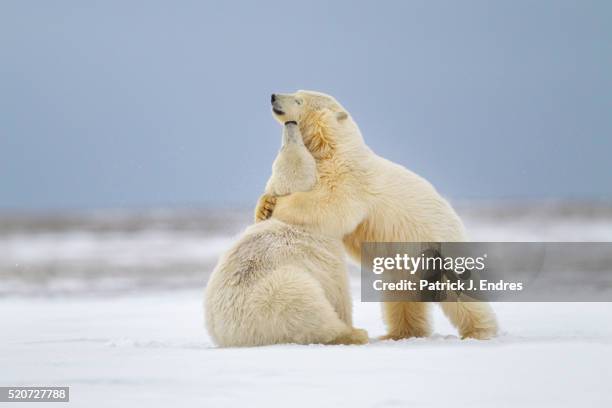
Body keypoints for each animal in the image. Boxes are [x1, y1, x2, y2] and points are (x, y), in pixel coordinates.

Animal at [206, 122, 368, 348]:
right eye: (284, 148)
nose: (290, 123)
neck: (292, 220)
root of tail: (232, 335)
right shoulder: (328, 254)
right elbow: (339, 291)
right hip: (279, 295)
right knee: (308, 309)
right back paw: (354, 333)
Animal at [256, 90, 500, 342]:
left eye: (299, 100)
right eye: (295, 92)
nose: (273, 96)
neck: (333, 146)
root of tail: (457, 221)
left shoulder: (348, 176)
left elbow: (331, 203)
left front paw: (279, 206)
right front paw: (264, 206)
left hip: (438, 245)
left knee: (457, 289)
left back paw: (480, 331)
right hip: (406, 262)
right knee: (400, 294)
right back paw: (399, 334)